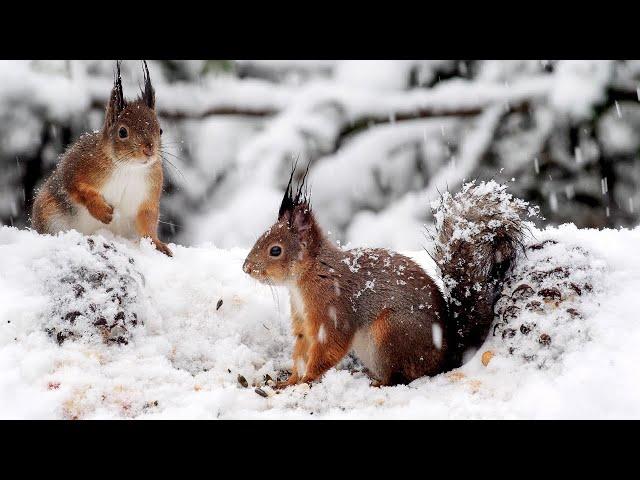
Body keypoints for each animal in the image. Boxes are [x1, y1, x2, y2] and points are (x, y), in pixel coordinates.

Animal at [31, 61, 172, 256]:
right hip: (49, 213)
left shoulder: (149, 194)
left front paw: (157, 244)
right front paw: (102, 211)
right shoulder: (76, 166)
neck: (128, 167)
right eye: (122, 132)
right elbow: (76, 187)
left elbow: (148, 220)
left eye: (160, 130)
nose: (149, 150)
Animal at [241, 165, 536, 386]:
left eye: (275, 250)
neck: (309, 275)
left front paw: (307, 379)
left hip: (391, 333)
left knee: (402, 376)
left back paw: (379, 382)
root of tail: (446, 357)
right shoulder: (304, 323)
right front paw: (289, 380)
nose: (246, 268)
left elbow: (329, 346)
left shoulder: (333, 309)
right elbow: (302, 351)